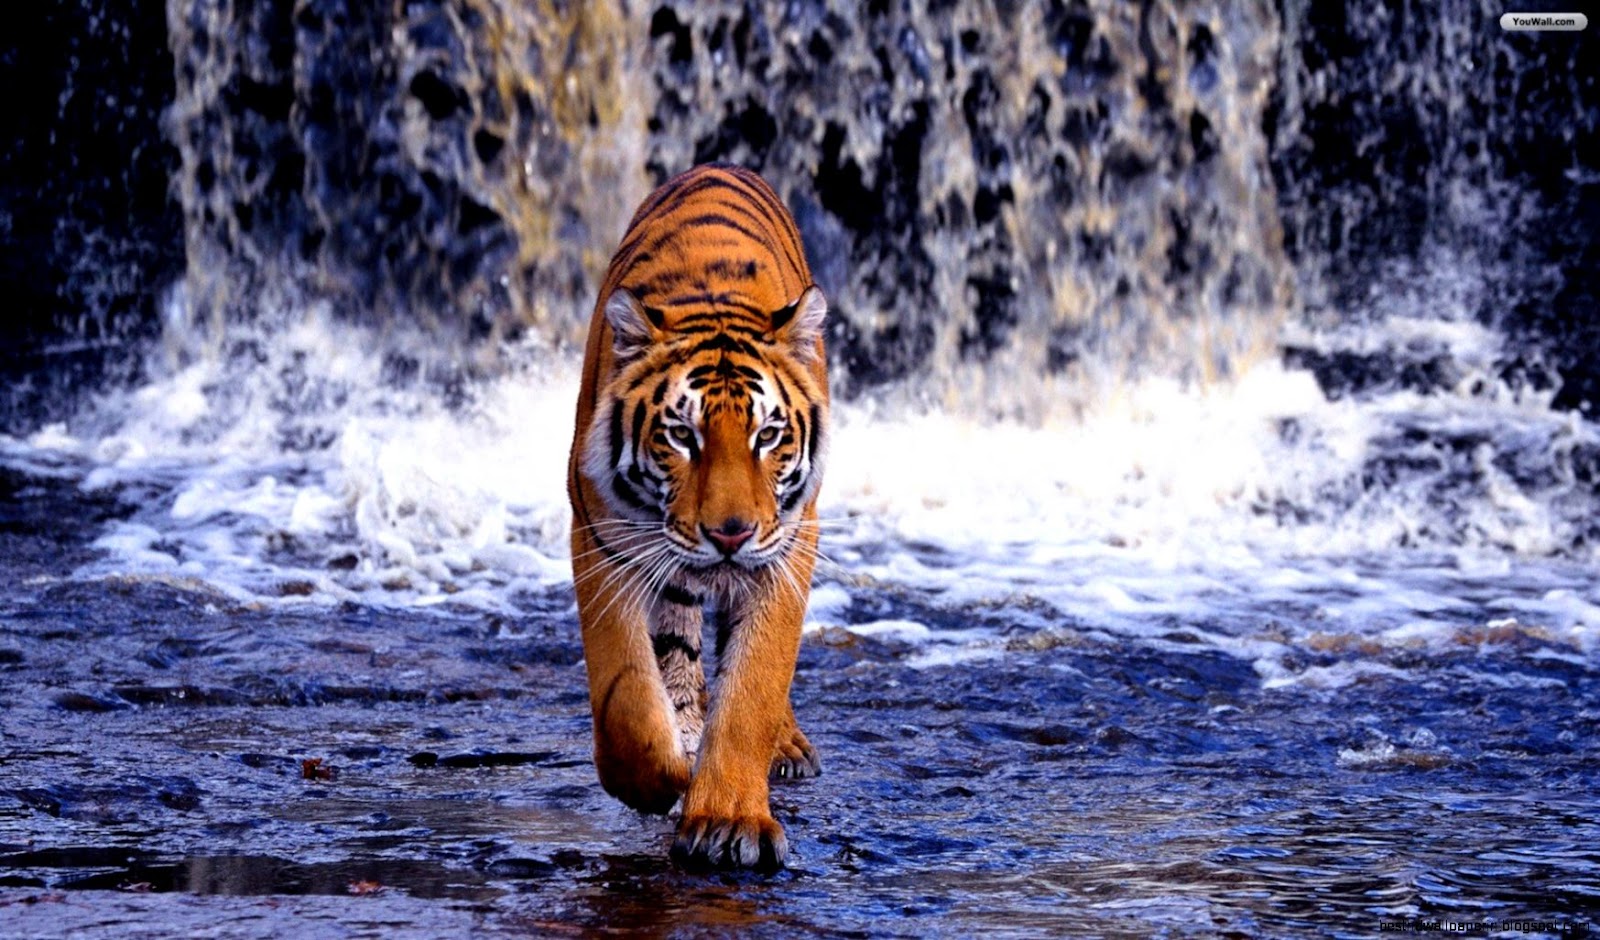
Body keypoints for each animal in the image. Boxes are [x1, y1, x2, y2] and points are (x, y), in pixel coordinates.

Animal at [567, 164, 830, 871]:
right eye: (682, 436)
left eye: (768, 435)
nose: (730, 534)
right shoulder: (603, 539)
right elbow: (627, 691)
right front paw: (658, 779)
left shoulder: (787, 548)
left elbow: (753, 687)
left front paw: (728, 819)